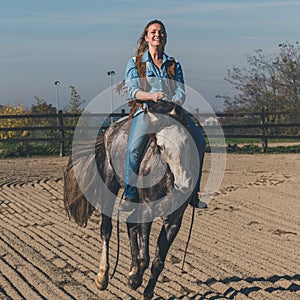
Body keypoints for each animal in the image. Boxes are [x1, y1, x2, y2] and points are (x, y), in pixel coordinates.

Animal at [64, 101, 203, 300]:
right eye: (161, 147)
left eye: (188, 143)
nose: (185, 183)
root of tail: (110, 129)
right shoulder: (147, 210)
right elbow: (145, 257)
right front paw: (135, 279)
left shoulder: (174, 220)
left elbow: (158, 261)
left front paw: (147, 290)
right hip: (110, 184)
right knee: (106, 229)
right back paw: (102, 277)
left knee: (130, 224)